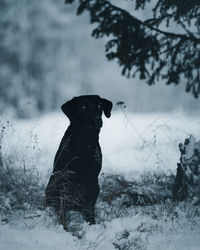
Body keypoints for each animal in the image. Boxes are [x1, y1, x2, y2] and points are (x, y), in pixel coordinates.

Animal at [44, 95, 112, 225]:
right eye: (83, 107)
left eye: (99, 105)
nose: (97, 119)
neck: (85, 141)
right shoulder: (64, 177)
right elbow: (62, 206)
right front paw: (63, 225)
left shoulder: (92, 178)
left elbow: (89, 206)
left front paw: (91, 222)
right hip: (52, 185)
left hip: (97, 186)